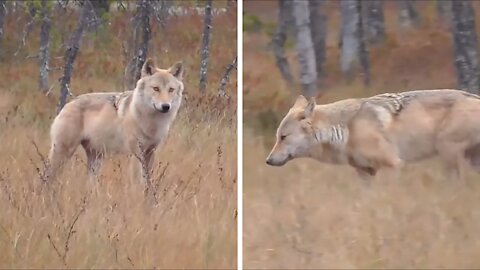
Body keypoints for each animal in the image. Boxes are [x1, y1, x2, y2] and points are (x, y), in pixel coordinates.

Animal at [47, 59, 185, 185]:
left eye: (171, 90)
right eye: (156, 88)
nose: (166, 106)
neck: (152, 122)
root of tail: (68, 104)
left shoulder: (151, 152)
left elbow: (148, 182)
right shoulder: (136, 154)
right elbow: (137, 182)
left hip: (96, 159)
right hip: (63, 152)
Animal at [266, 89, 480, 180]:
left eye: (283, 137)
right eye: (277, 137)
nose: (267, 160)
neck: (345, 129)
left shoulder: (393, 165)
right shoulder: (365, 172)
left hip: (448, 153)